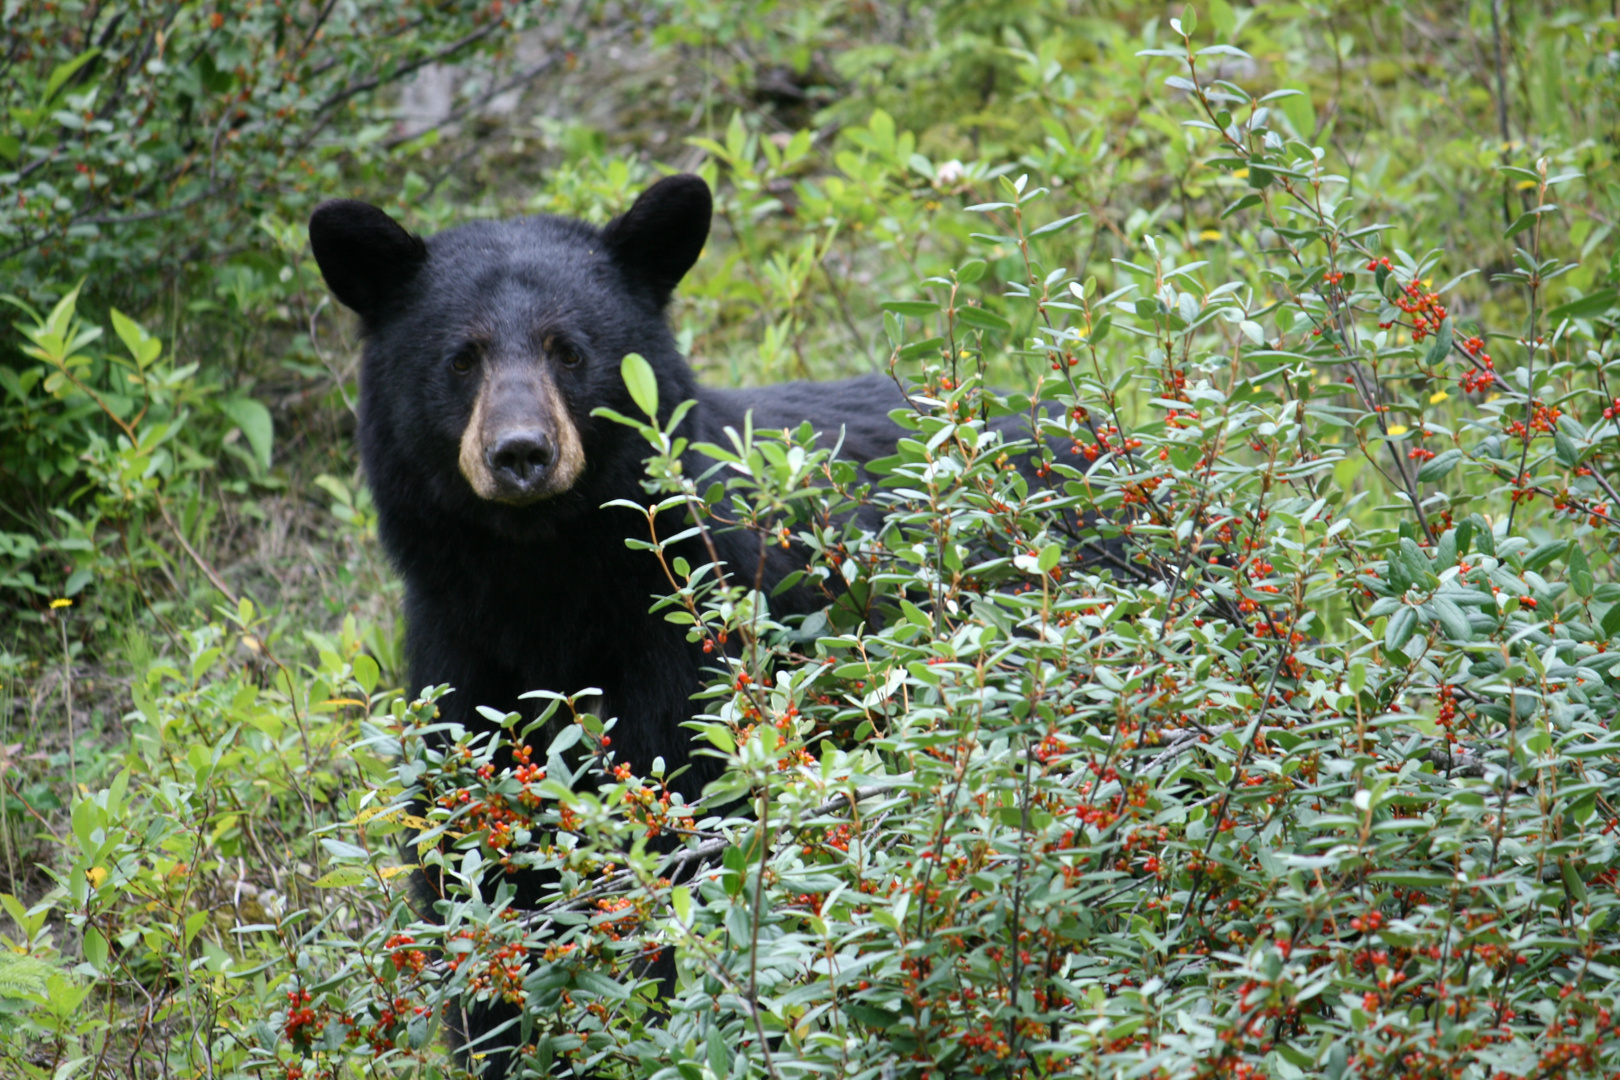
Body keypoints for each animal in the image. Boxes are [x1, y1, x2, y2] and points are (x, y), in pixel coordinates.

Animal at [306, 175, 1088, 1075]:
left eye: (568, 351)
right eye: (461, 357)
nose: (521, 453)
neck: (543, 581)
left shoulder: (694, 637)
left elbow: (686, 832)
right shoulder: (459, 657)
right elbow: (472, 870)